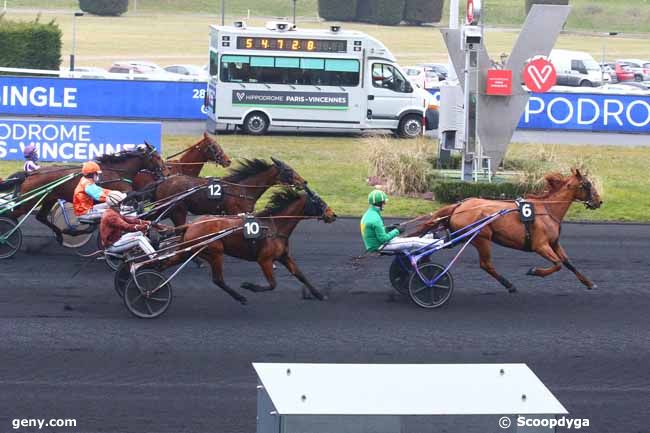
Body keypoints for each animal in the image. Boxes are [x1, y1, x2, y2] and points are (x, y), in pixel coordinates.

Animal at [0, 144, 167, 240]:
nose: (165, 171)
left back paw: (60, 235)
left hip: (49, 199)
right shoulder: (120, 193)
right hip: (30, 202)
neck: (116, 171)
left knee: (40, 217)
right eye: (157, 157)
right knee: (11, 214)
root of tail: (29, 174)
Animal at [151, 159, 306, 226]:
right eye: (288, 170)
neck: (243, 188)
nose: (304, 182)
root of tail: (163, 182)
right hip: (178, 211)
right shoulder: (235, 212)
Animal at [162, 186, 336, 304]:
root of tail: (190, 225)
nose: (333, 215)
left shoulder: (283, 256)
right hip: (215, 252)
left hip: (187, 251)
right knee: (218, 279)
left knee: (166, 264)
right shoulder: (264, 260)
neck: (275, 226)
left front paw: (319, 294)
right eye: (319, 202)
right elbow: (273, 284)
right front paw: (248, 285)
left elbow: (300, 275)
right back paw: (240, 297)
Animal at [410, 167, 604, 292]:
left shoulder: (554, 243)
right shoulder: (540, 245)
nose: (599, 201)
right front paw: (534, 271)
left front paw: (589, 283)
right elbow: (557, 264)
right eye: (587, 184)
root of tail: (459, 206)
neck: (548, 210)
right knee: (486, 264)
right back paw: (509, 285)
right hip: (482, 238)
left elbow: (568, 263)